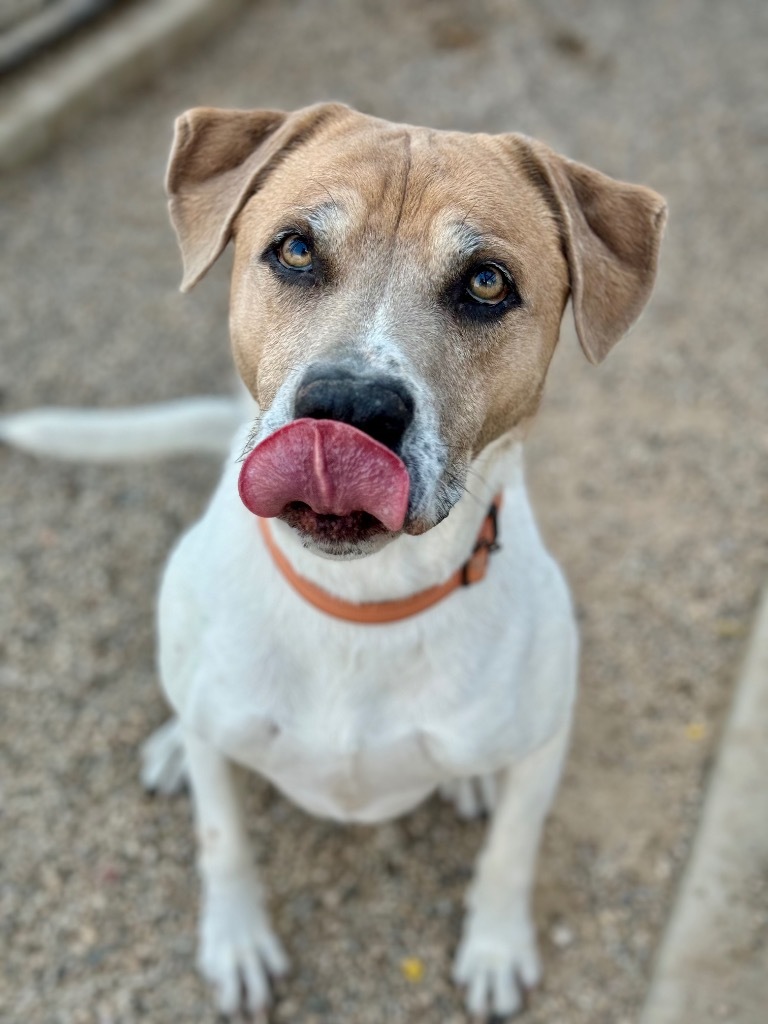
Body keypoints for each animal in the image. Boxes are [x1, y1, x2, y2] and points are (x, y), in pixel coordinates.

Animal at [1, 103, 667, 1015]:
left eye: (487, 283)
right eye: (294, 249)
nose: (349, 408)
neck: (360, 601)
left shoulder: (542, 744)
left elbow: (512, 851)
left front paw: (496, 948)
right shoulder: (225, 760)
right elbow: (223, 838)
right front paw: (237, 942)